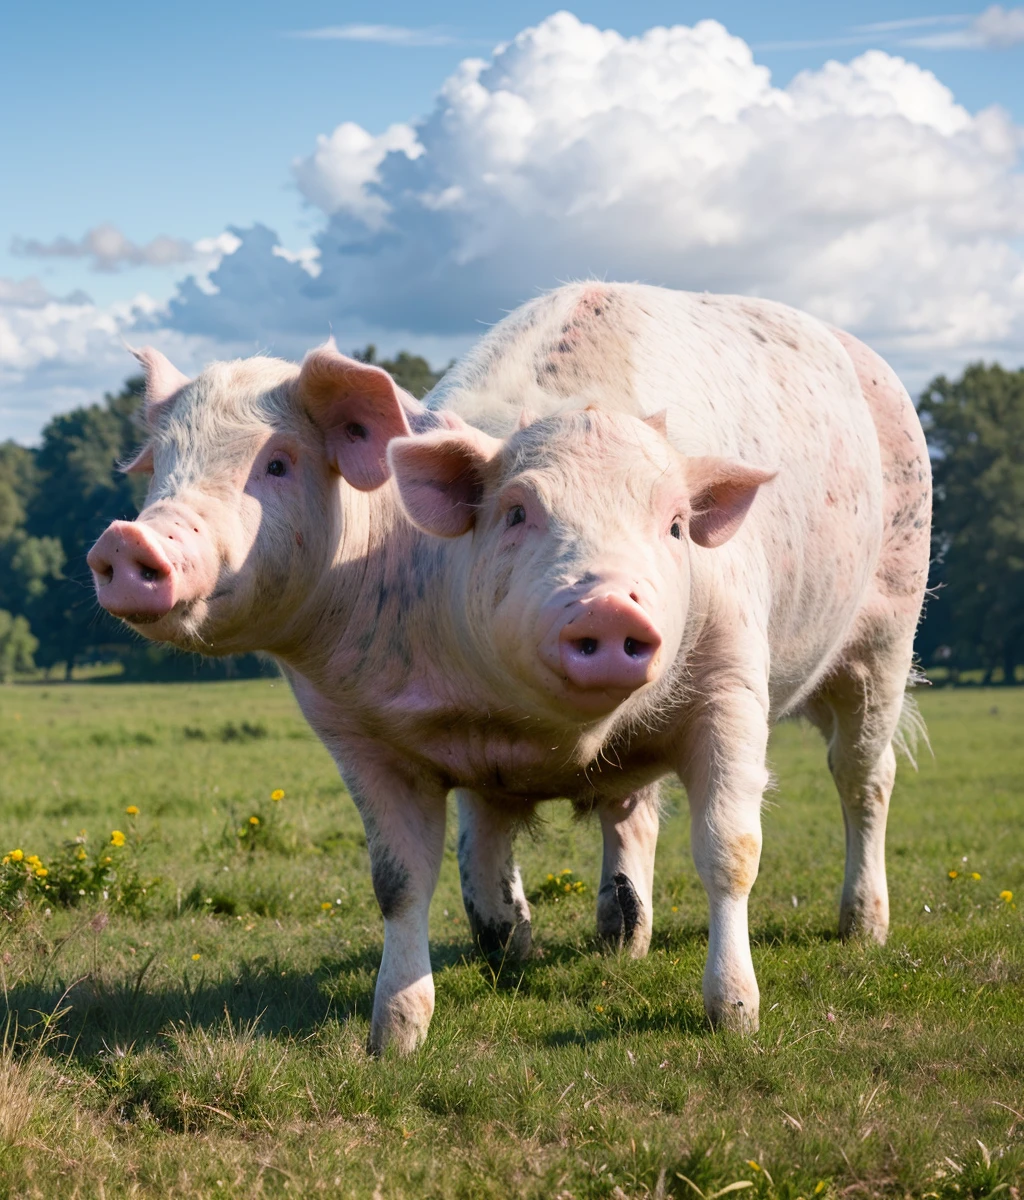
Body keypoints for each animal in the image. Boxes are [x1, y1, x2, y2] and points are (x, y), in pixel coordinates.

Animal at [91, 285, 931, 1056]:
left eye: (276, 461)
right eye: (518, 512)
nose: (130, 538)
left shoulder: (733, 686)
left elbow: (731, 850)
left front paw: (735, 1019)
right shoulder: (354, 730)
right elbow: (398, 878)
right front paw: (394, 1040)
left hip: (889, 630)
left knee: (865, 774)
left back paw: (862, 929)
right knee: (592, 818)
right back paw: (582, 945)